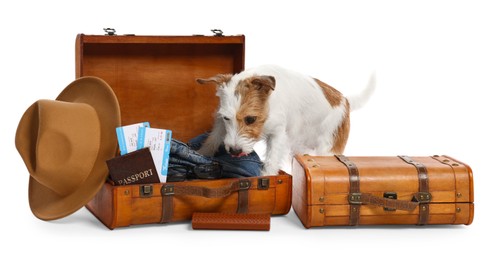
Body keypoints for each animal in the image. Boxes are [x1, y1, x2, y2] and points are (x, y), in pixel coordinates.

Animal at [197, 64, 374, 176]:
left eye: (250, 119)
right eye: (227, 118)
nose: (234, 151)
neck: (269, 105)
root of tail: (346, 101)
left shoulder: (278, 135)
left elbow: (272, 159)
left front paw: (266, 176)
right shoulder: (221, 124)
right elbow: (212, 139)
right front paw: (200, 153)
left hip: (328, 149)